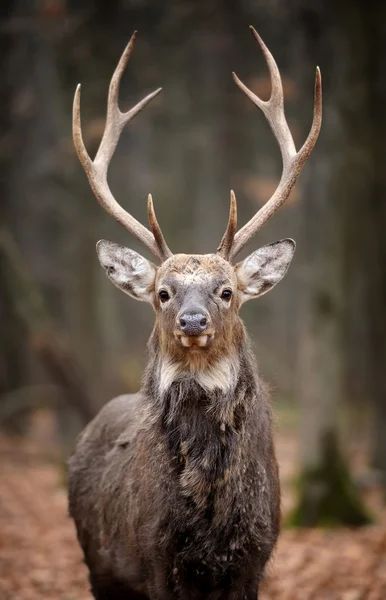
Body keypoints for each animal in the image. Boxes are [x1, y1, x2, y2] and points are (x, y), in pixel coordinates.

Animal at [68, 25, 322, 596]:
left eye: (226, 291)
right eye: (163, 293)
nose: (191, 320)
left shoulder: (256, 556)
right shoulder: (154, 556)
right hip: (99, 564)